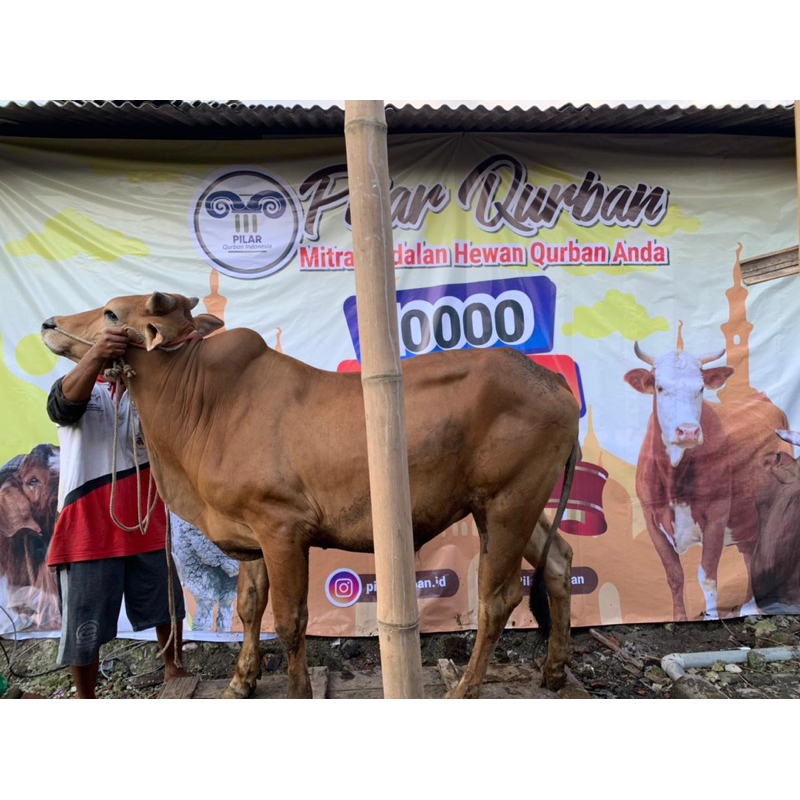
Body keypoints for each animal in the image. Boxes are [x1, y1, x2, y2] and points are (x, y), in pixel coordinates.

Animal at [40, 294, 580, 700]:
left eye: (112, 313)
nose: (49, 323)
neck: (202, 405)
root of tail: (552, 380)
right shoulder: (251, 532)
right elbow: (249, 606)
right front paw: (241, 680)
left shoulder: (282, 528)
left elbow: (290, 619)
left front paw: (296, 689)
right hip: (511, 506)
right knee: (558, 562)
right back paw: (554, 671)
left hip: (508, 504)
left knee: (498, 598)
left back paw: (465, 687)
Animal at [624, 340, 788, 620]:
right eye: (660, 387)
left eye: (700, 388)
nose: (688, 431)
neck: (674, 478)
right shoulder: (651, 517)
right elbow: (674, 575)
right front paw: (679, 619)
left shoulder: (717, 515)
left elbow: (707, 577)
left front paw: (711, 617)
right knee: (750, 557)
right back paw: (748, 607)